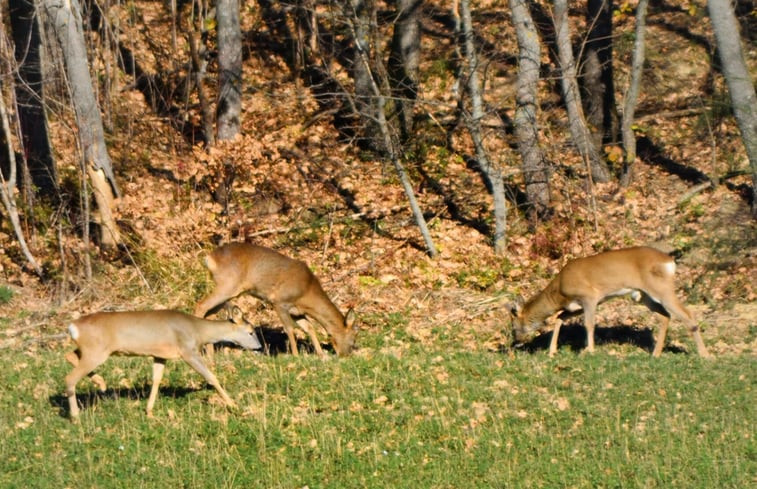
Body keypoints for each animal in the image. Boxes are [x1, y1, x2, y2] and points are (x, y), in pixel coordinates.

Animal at [62, 306, 262, 418]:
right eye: (251, 331)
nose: (259, 347)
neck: (199, 332)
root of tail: (73, 326)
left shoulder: (160, 355)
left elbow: (156, 380)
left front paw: (149, 411)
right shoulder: (188, 351)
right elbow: (211, 377)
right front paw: (234, 405)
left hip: (90, 350)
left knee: (69, 356)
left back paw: (101, 383)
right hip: (96, 350)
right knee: (69, 378)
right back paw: (75, 415)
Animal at [195, 242, 360, 356]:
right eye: (353, 338)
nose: (345, 356)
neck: (307, 291)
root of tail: (210, 258)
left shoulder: (297, 311)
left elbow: (309, 328)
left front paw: (321, 355)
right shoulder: (280, 301)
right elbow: (290, 329)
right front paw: (296, 356)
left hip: (228, 291)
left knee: (209, 313)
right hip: (227, 285)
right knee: (201, 305)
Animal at [508, 246, 708, 356]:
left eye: (513, 326)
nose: (516, 341)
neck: (558, 291)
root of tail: (670, 262)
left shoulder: (590, 296)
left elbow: (589, 324)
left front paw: (589, 351)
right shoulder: (578, 304)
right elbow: (559, 318)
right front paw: (552, 351)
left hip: (661, 288)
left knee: (687, 314)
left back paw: (705, 355)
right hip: (643, 295)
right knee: (665, 316)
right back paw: (655, 354)